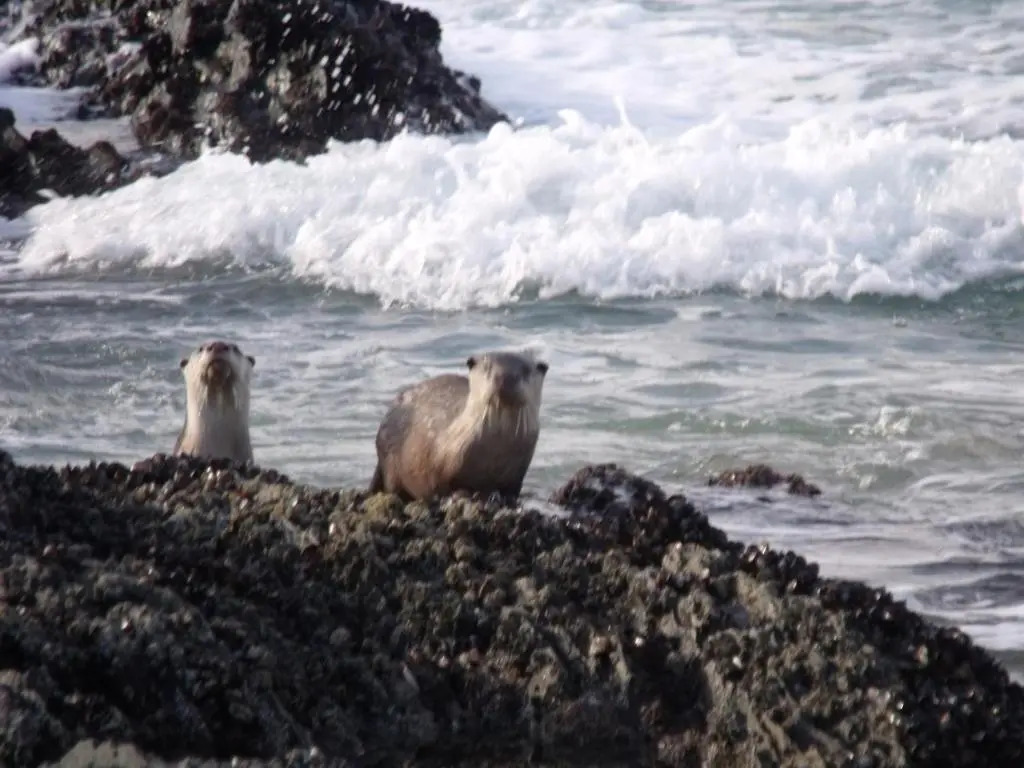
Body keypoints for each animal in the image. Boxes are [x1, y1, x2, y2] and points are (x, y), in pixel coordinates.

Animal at [369, 350, 549, 501]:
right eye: (487, 368)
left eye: (526, 370)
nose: (505, 376)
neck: (495, 451)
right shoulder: (442, 463)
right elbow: (442, 484)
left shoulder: (517, 474)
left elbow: (512, 490)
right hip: (390, 459)